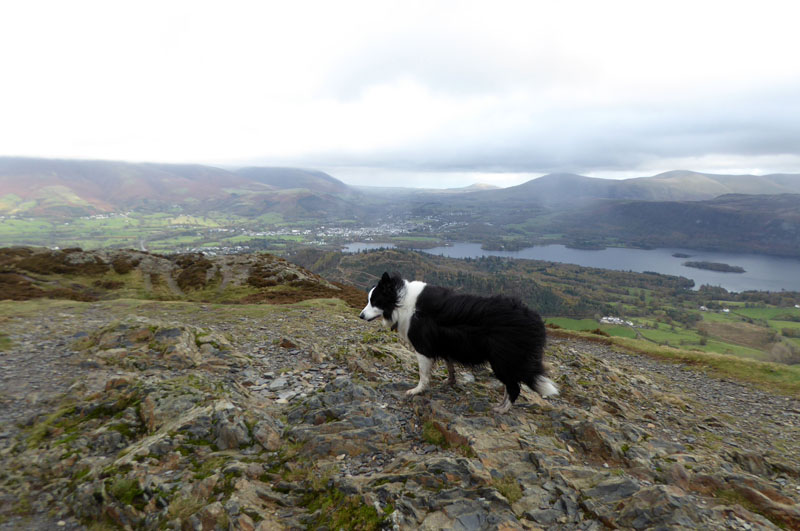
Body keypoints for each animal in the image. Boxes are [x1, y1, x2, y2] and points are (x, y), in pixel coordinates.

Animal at [360, 272, 560, 414]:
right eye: (369, 300)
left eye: (375, 301)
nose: (361, 316)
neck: (401, 302)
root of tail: (535, 320)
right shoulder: (445, 344)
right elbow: (449, 366)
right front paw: (450, 382)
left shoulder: (423, 348)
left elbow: (423, 375)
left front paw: (417, 391)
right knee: (510, 385)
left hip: (502, 361)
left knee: (514, 387)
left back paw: (502, 409)